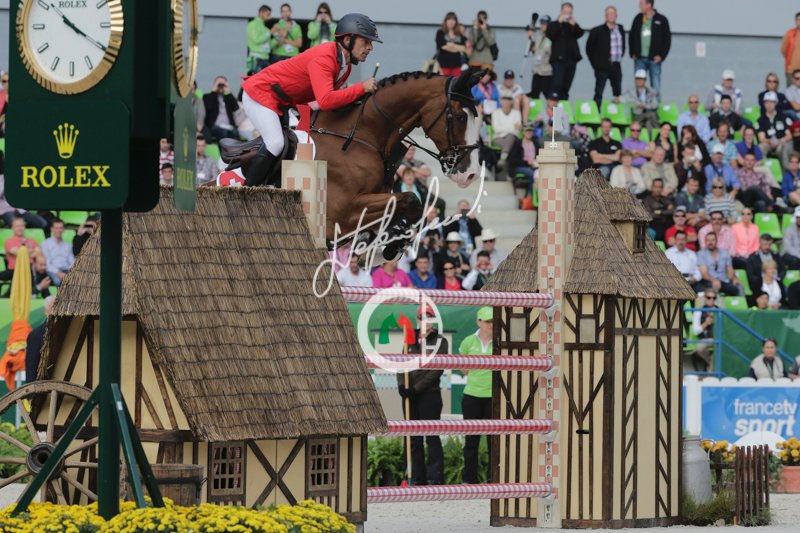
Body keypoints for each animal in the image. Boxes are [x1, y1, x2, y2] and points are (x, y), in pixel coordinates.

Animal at [219, 69, 483, 258]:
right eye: (460, 117)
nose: (470, 174)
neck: (359, 138)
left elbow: (405, 203)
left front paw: (394, 239)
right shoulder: (343, 214)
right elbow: (411, 198)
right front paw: (395, 241)